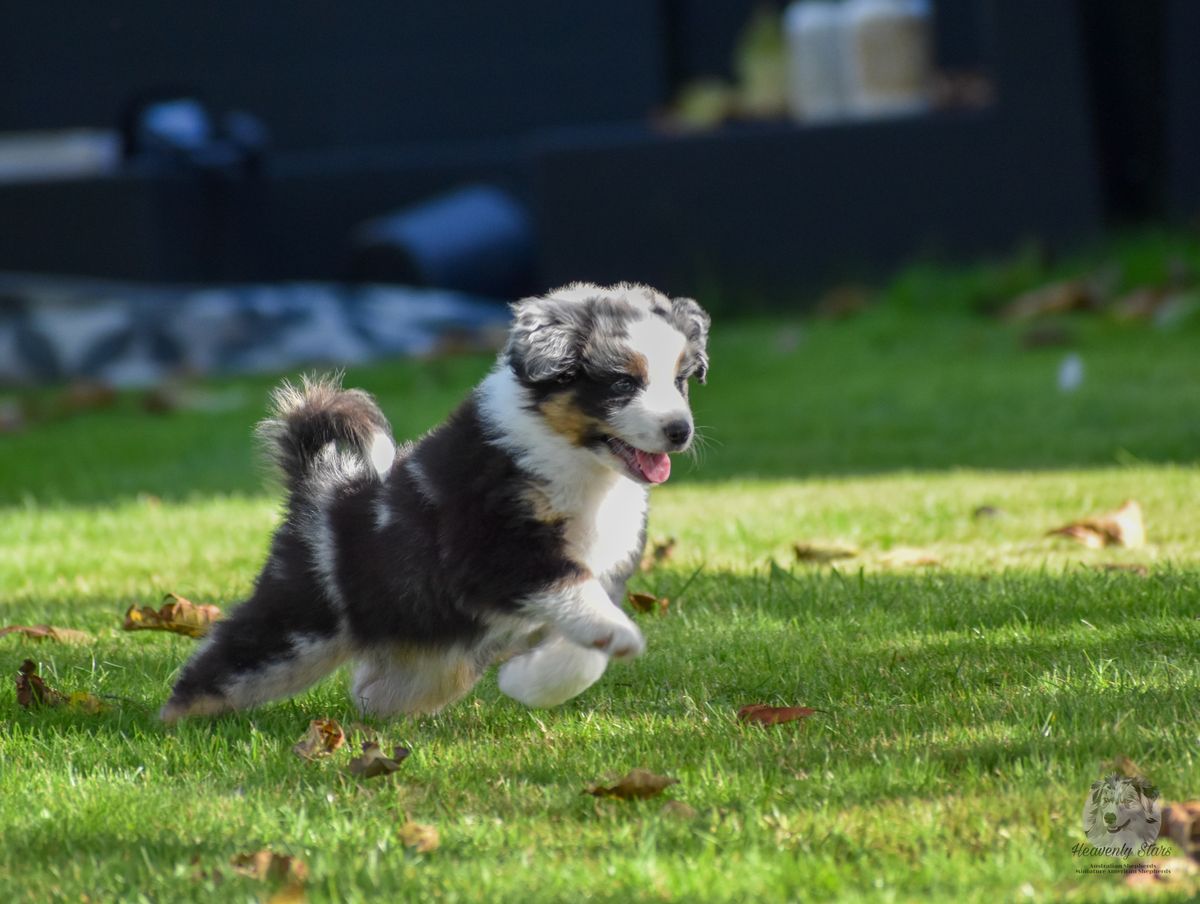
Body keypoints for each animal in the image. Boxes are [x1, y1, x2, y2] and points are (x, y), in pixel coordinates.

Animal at [161, 282, 709, 721]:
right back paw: (173, 725)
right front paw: (609, 641)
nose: (680, 431)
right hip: (300, 624)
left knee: (385, 682)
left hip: (427, 646)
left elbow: (584, 651)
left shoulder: (602, 570)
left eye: (681, 381)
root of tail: (323, 488)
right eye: (622, 382)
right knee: (226, 664)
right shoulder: (498, 550)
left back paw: (376, 702)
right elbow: (574, 595)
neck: (577, 459)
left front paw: (528, 683)